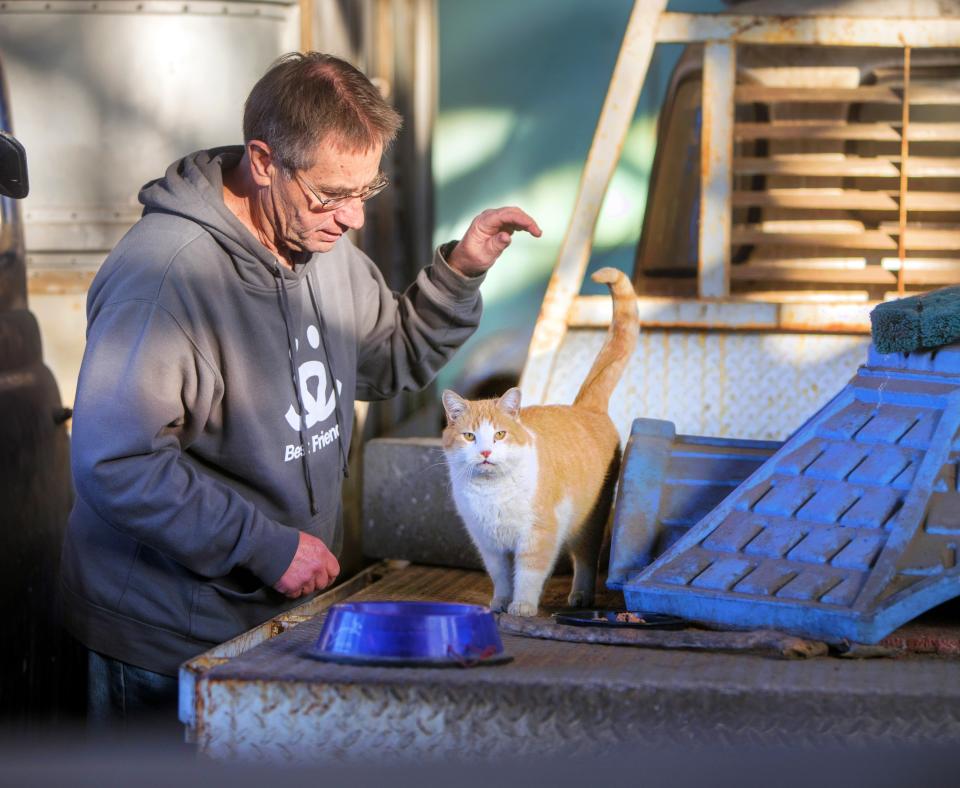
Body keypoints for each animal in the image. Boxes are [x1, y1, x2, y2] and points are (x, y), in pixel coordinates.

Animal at [440, 270, 636, 616]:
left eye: (500, 434)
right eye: (469, 436)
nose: (486, 451)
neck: (491, 494)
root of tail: (584, 407)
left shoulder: (537, 536)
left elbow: (529, 575)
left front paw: (521, 607)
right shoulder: (490, 546)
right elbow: (501, 577)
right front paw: (500, 603)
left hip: (587, 524)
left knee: (585, 560)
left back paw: (581, 595)